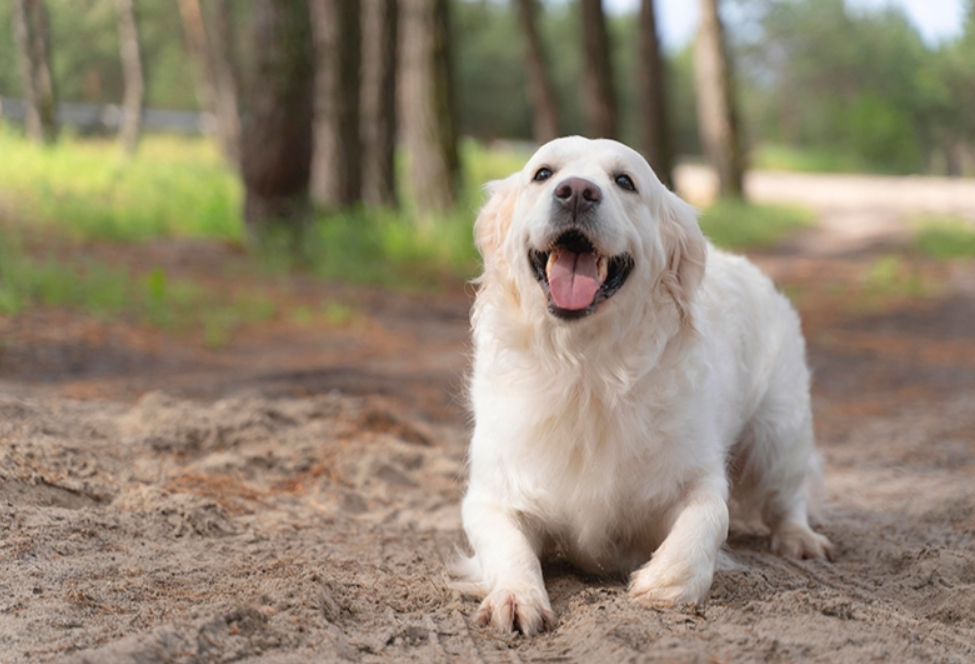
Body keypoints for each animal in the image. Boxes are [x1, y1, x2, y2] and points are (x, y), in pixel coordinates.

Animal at [456, 136, 832, 632]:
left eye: (624, 181)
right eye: (543, 173)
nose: (576, 192)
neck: (586, 370)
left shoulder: (695, 474)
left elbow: (711, 515)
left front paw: (666, 581)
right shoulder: (492, 493)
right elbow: (508, 545)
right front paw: (516, 596)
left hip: (779, 434)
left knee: (788, 496)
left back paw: (800, 539)